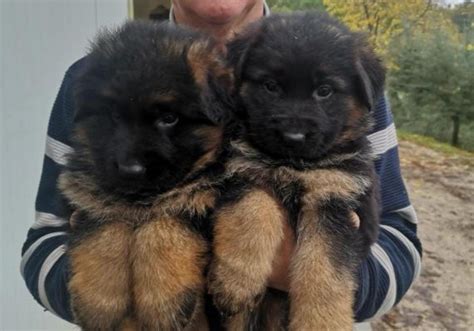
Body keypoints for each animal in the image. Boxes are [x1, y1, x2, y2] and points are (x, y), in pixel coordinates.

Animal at [58, 21, 232, 331]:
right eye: (113, 116)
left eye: (169, 118)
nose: (131, 170)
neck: (143, 200)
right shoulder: (86, 195)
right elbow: (104, 225)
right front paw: (96, 302)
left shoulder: (206, 200)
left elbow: (165, 226)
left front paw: (163, 303)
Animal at [209, 11, 384, 330]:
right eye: (271, 86)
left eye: (324, 91)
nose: (293, 137)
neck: (293, 165)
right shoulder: (243, 172)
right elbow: (252, 214)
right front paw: (236, 282)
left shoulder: (335, 199)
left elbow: (323, 270)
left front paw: (322, 322)